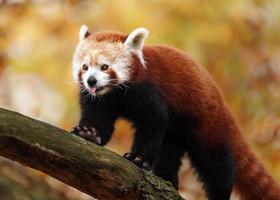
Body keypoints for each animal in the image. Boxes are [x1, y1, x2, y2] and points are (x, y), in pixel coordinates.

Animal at [70, 25, 280, 200]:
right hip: (177, 133)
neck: (114, 94)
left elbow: (153, 123)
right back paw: (167, 179)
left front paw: (138, 158)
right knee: (169, 153)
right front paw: (89, 133)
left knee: (215, 164)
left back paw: (219, 193)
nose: (91, 81)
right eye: (85, 67)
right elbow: (100, 122)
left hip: (206, 122)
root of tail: (221, 100)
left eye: (105, 67)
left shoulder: (149, 92)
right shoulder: (99, 101)